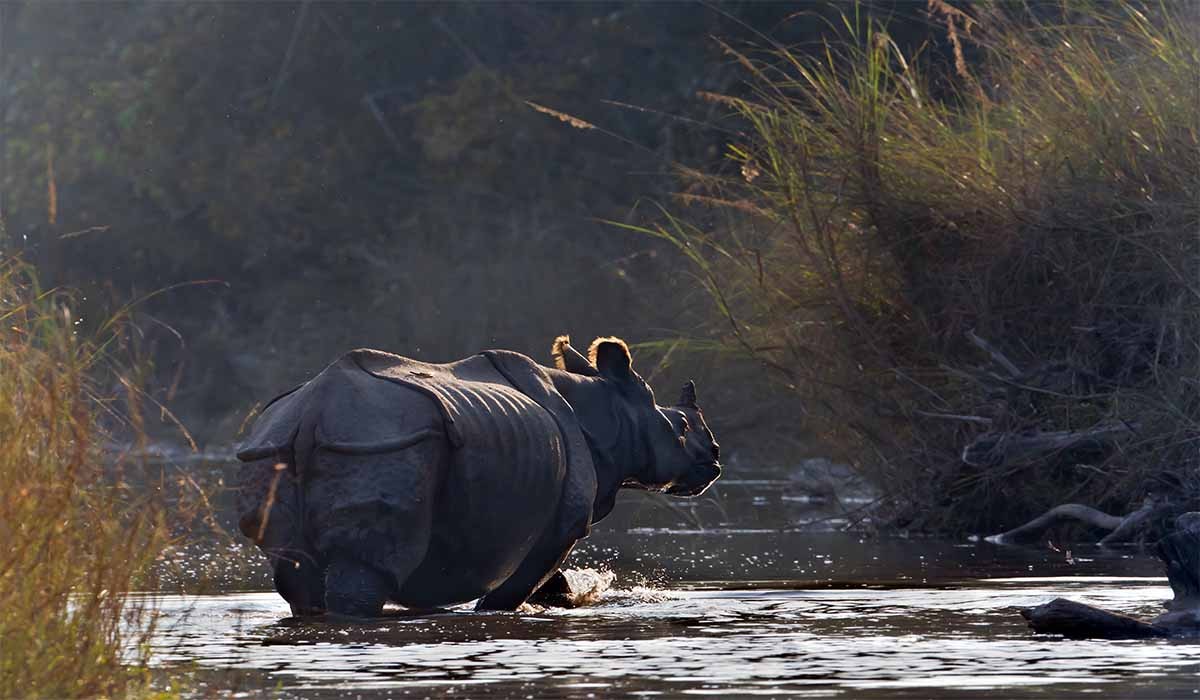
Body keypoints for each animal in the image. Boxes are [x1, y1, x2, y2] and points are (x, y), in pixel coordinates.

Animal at [235, 335, 721, 616]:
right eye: (680, 428)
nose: (714, 458)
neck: (607, 412)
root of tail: (311, 416)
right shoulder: (564, 522)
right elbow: (518, 585)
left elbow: (546, 579)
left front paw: (563, 596)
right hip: (383, 442)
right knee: (364, 570)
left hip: (271, 448)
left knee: (294, 569)